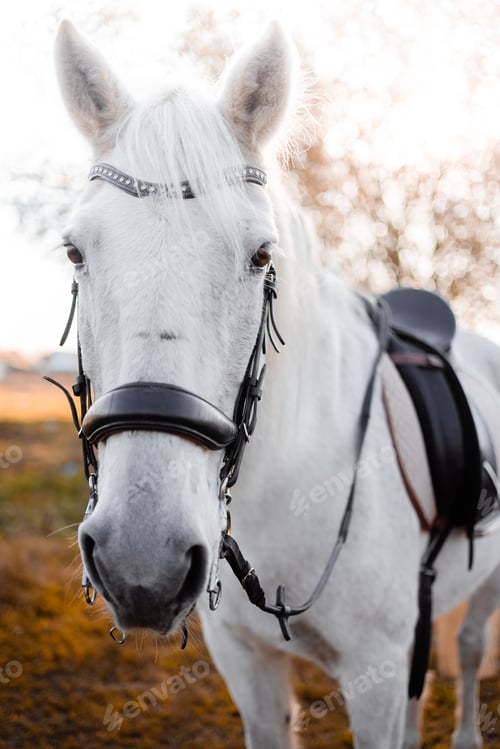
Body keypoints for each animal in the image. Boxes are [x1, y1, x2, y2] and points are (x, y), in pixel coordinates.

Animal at [54, 19, 500, 748]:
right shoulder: (248, 664)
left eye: (262, 255)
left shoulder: (373, 673)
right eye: (75, 252)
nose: (141, 561)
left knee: (466, 649)